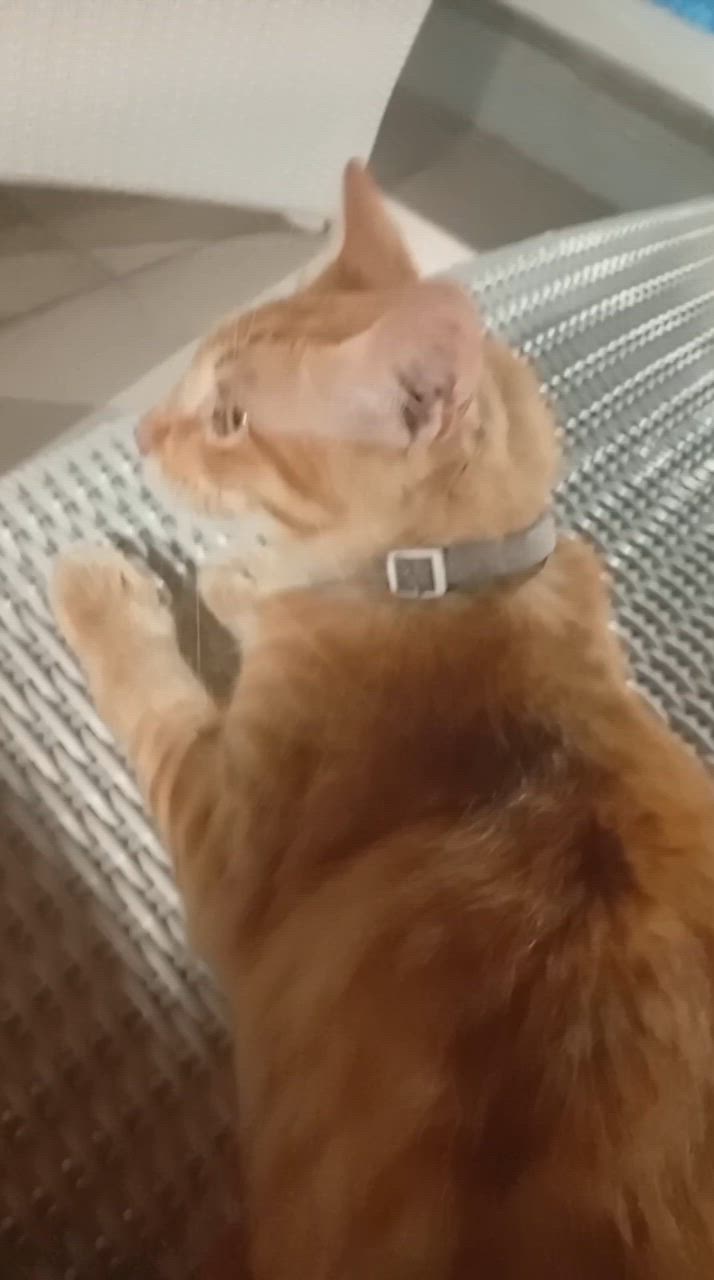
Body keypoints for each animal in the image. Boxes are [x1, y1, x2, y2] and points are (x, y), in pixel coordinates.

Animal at [52, 162, 714, 1279]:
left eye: (230, 418)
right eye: (195, 391)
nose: (142, 434)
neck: (451, 585)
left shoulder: (221, 835)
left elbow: (161, 689)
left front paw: (117, 587)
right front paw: (245, 576)